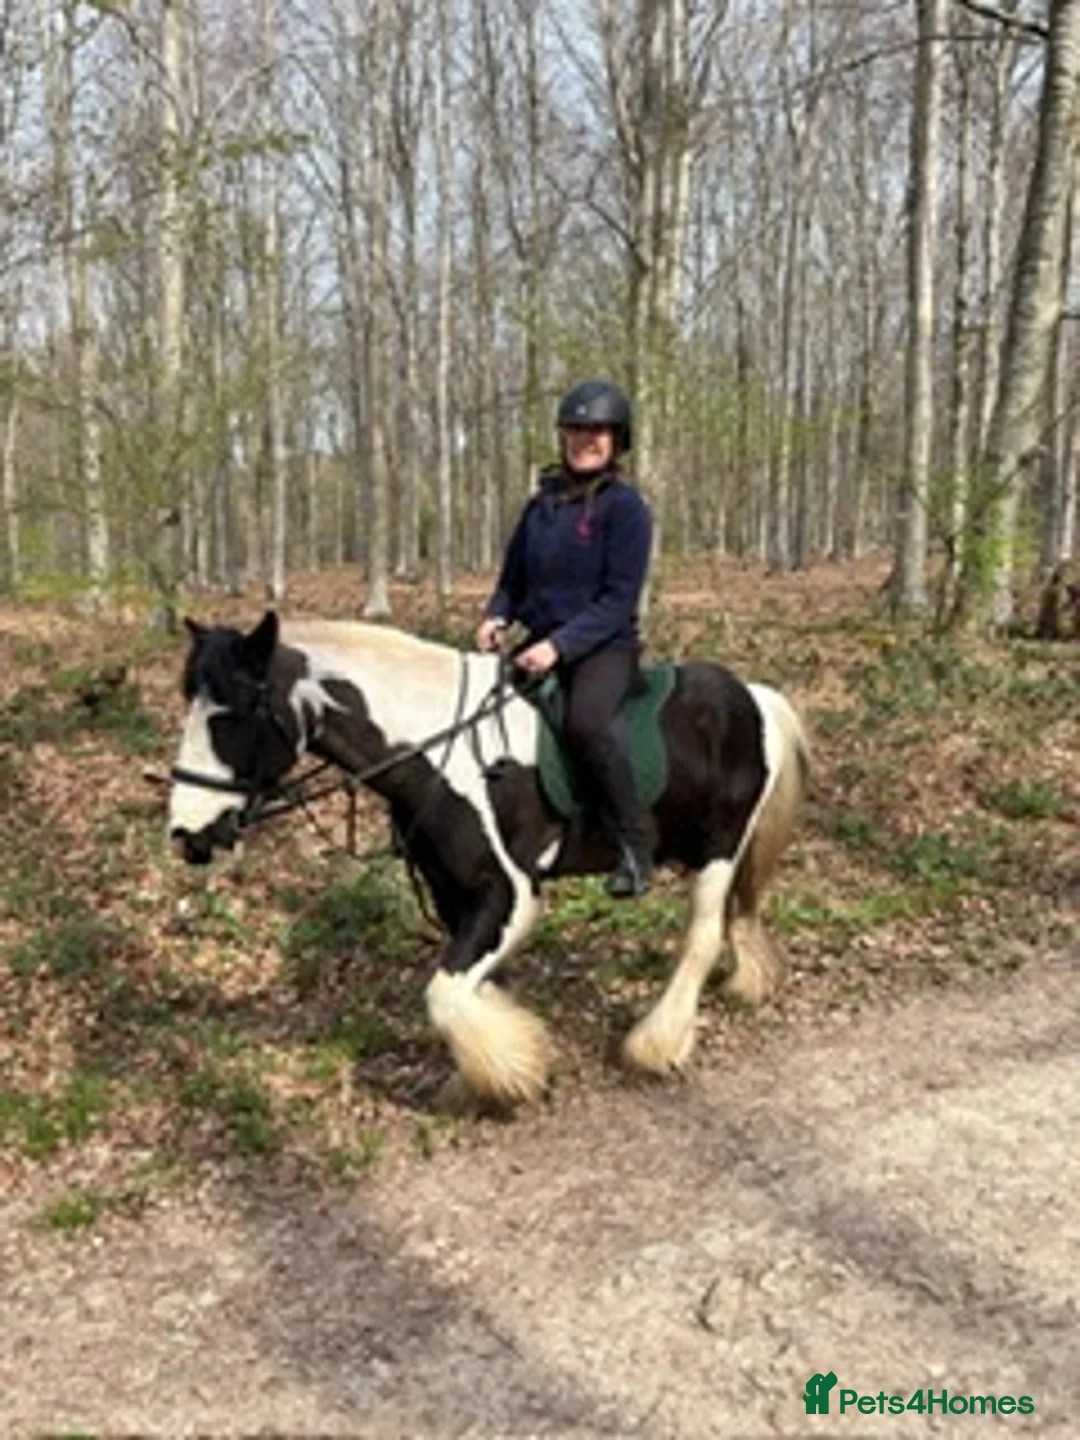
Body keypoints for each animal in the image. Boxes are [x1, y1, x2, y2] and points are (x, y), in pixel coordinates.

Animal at [167, 611, 809, 1107]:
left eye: (230, 715)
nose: (185, 835)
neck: (436, 751)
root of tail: (752, 696)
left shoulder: (509, 893)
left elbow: (444, 995)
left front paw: (511, 1075)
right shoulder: (453, 892)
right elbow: (474, 988)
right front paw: (485, 1074)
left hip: (719, 850)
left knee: (701, 937)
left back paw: (655, 1046)